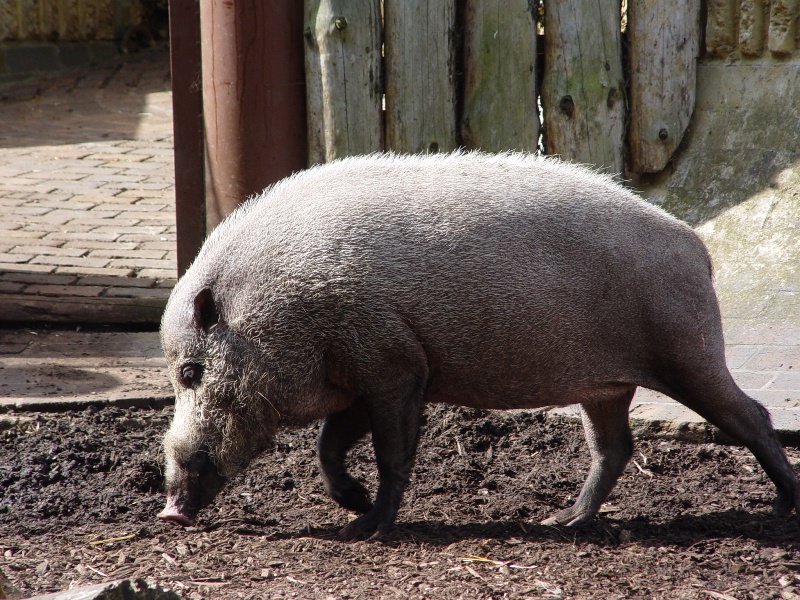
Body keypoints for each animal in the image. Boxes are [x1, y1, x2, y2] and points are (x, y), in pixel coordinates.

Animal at [158, 151, 800, 540]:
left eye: (190, 371)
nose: (168, 510)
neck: (280, 313)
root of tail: (697, 245)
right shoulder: (360, 379)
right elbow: (328, 447)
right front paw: (353, 509)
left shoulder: (396, 367)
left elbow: (392, 454)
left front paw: (368, 529)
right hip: (607, 385)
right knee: (615, 446)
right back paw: (562, 521)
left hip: (689, 353)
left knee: (750, 415)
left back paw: (784, 507)